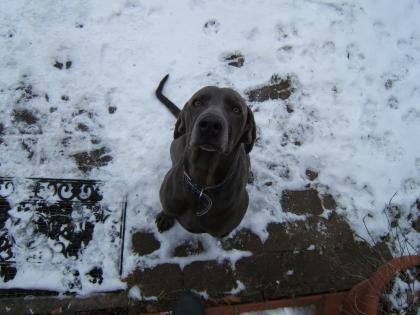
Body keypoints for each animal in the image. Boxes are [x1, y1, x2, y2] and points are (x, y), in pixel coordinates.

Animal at [155, 74, 256, 237]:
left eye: (236, 109)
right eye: (197, 103)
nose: (210, 124)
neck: (201, 188)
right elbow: (167, 209)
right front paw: (165, 216)